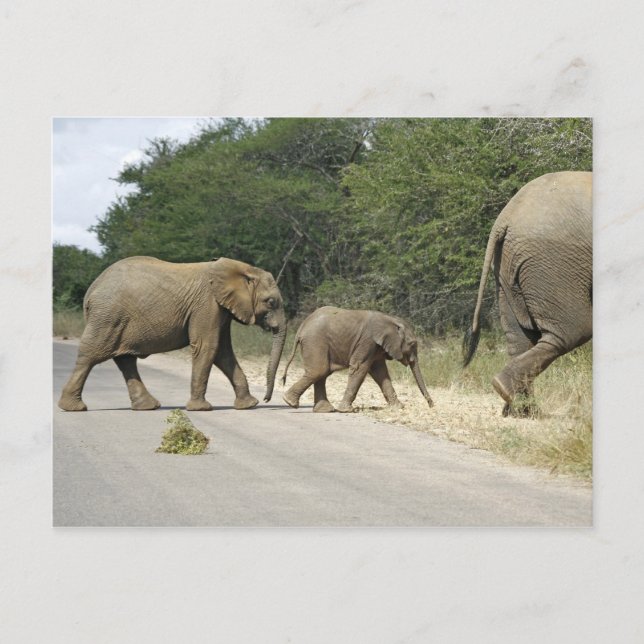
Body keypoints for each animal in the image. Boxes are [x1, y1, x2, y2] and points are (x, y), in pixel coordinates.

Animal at [58, 256, 287, 412]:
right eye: (270, 302)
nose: (267, 400)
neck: (242, 268)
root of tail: (90, 291)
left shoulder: (220, 309)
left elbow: (223, 352)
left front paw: (248, 405)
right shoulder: (207, 305)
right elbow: (207, 347)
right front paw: (201, 409)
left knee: (125, 359)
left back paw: (148, 406)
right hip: (108, 317)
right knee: (90, 356)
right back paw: (73, 408)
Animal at [281, 306, 433, 413]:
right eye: (412, 344)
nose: (431, 405)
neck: (390, 319)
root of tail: (302, 327)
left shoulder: (376, 347)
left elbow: (380, 373)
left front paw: (399, 407)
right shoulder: (367, 341)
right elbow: (360, 367)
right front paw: (345, 410)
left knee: (322, 373)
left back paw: (323, 410)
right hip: (315, 341)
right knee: (319, 370)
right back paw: (289, 402)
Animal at [463, 171, 592, 416]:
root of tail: (505, 218)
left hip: (507, 267)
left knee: (520, 338)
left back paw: (519, 409)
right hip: (551, 263)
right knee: (573, 330)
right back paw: (511, 396)